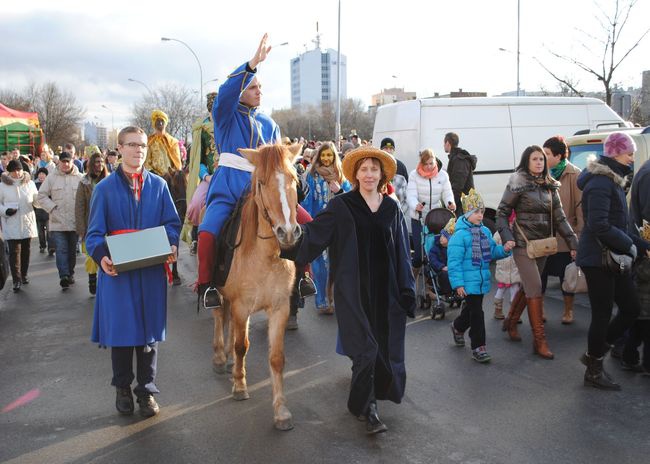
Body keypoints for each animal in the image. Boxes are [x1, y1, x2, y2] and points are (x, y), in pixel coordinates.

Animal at [214, 144, 302, 432]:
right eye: (261, 183)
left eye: (294, 179)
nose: (288, 232)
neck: (267, 255)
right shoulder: (242, 306)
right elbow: (243, 345)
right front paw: (240, 386)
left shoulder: (280, 308)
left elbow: (276, 357)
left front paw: (281, 411)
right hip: (220, 294)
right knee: (219, 317)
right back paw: (221, 358)